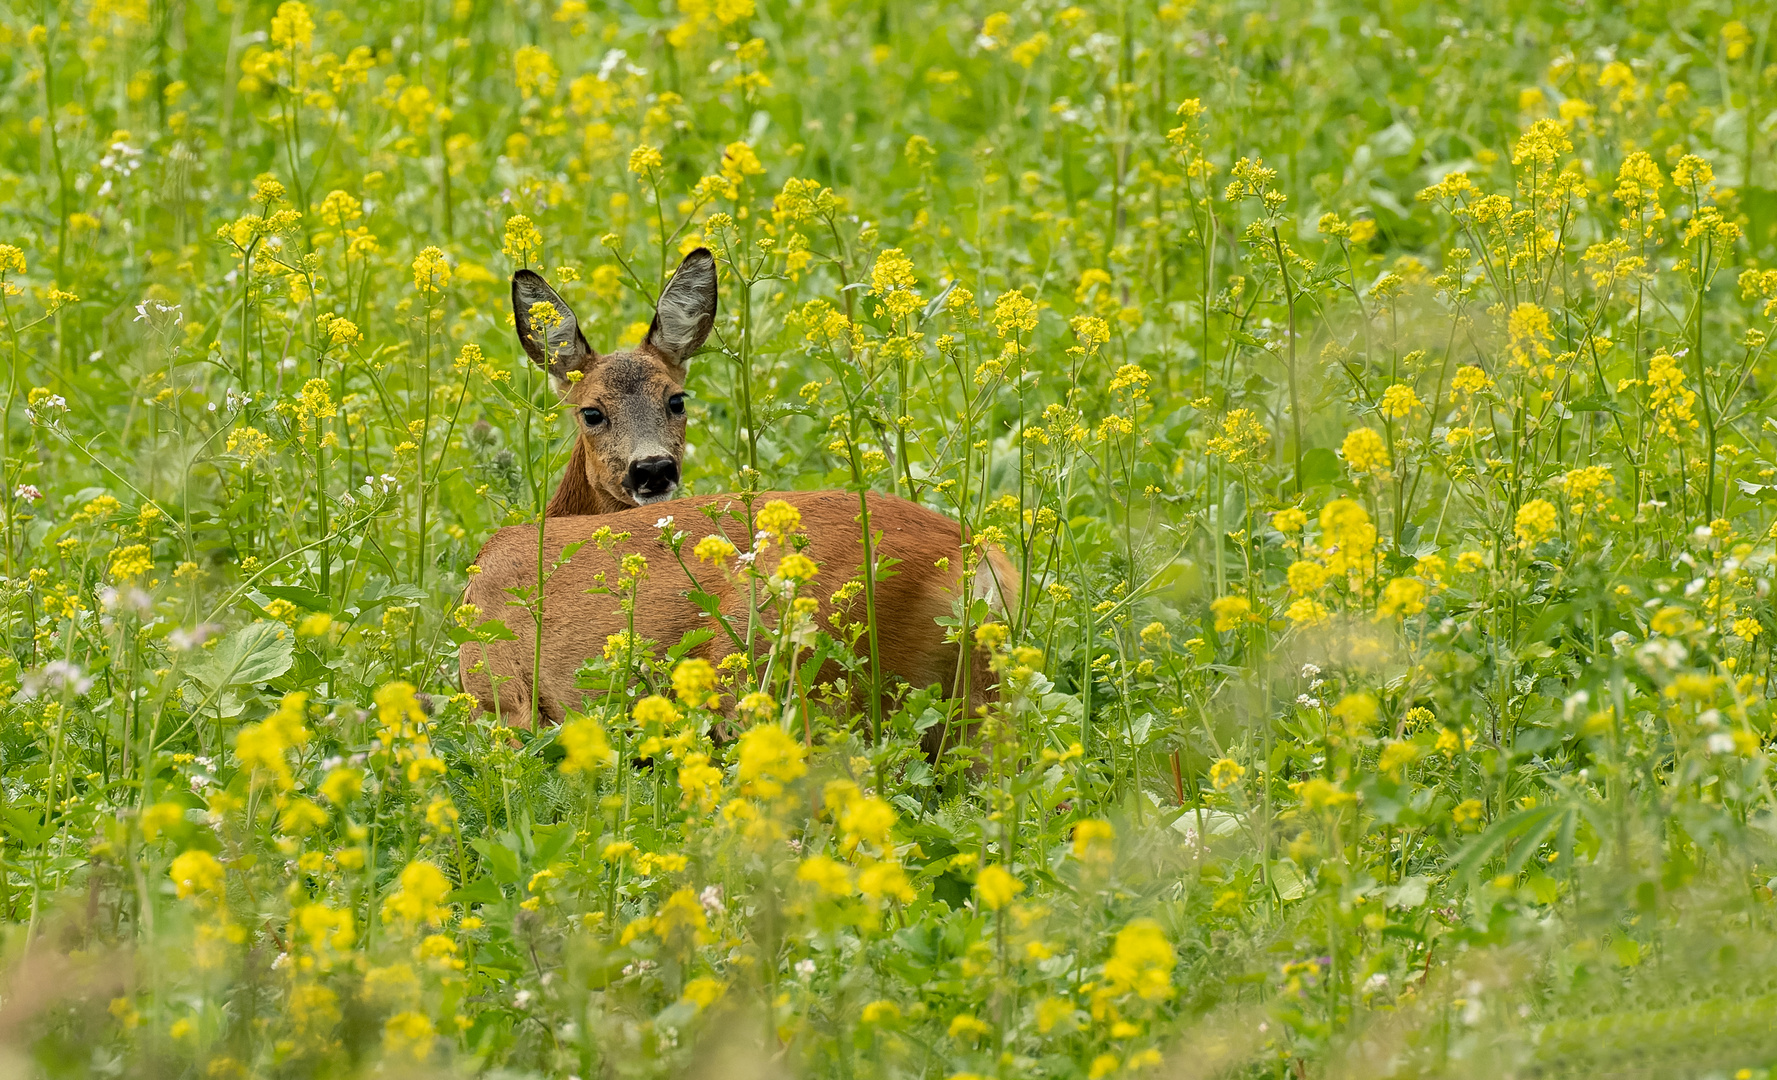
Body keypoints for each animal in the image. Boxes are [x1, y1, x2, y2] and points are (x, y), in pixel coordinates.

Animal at [451, 248, 1023, 746]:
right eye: (591, 412)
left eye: (676, 399)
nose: (653, 470)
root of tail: (975, 562)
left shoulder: (498, 682)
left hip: (772, 664)